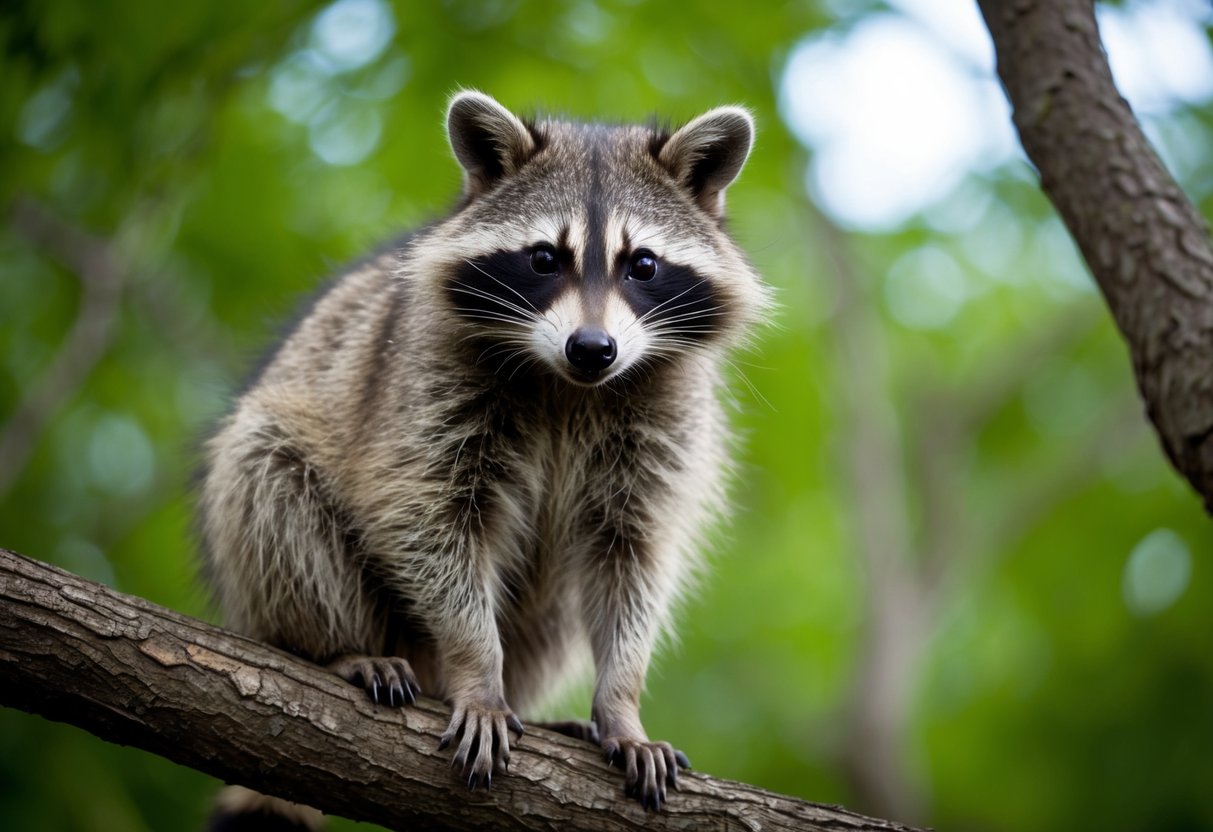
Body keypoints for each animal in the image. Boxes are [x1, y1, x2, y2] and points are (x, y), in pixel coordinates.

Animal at [198, 91, 769, 823]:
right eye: (544, 258)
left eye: (642, 264)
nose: (593, 348)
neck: (569, 385)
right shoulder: (425, 387)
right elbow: (431, 525)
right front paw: (477, 673)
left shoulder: (662, 425)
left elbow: (632, 559)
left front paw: (621, 701)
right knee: (268, 477)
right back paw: (335, 647)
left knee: (557, 607)